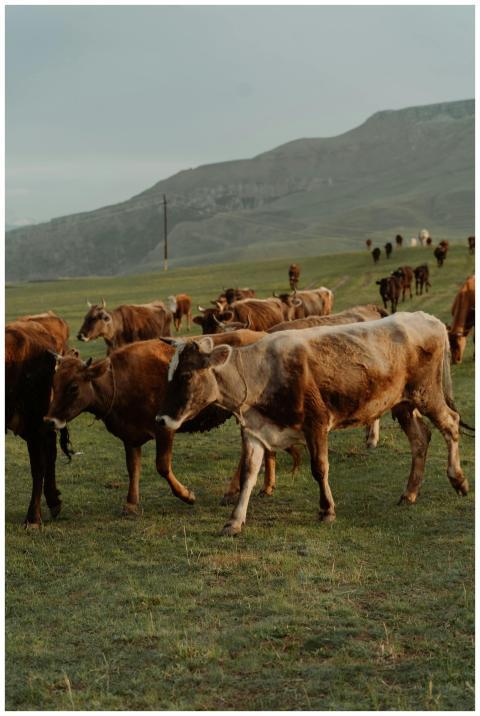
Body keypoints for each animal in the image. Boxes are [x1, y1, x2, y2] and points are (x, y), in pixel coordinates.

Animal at [6, 313, 73, 527]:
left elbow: (37, 468)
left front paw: (34, 518)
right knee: (50, 452)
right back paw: (53, 501)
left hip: (35, 422)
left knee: (42, 462)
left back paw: (38, 512)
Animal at [157, 312, 469, 536]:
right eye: (170, 374)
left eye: (186, 375)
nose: (163, 419)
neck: (262, 372)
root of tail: (428, 318)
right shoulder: (256, 431)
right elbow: (248, 475)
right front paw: (234, 521)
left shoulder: (316, 424)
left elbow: (319, 468)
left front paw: (327, 510)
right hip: (402, 403)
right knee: (420, 438)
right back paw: (410, 493)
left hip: (427, 394)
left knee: (450, 424)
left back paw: (458, 480)